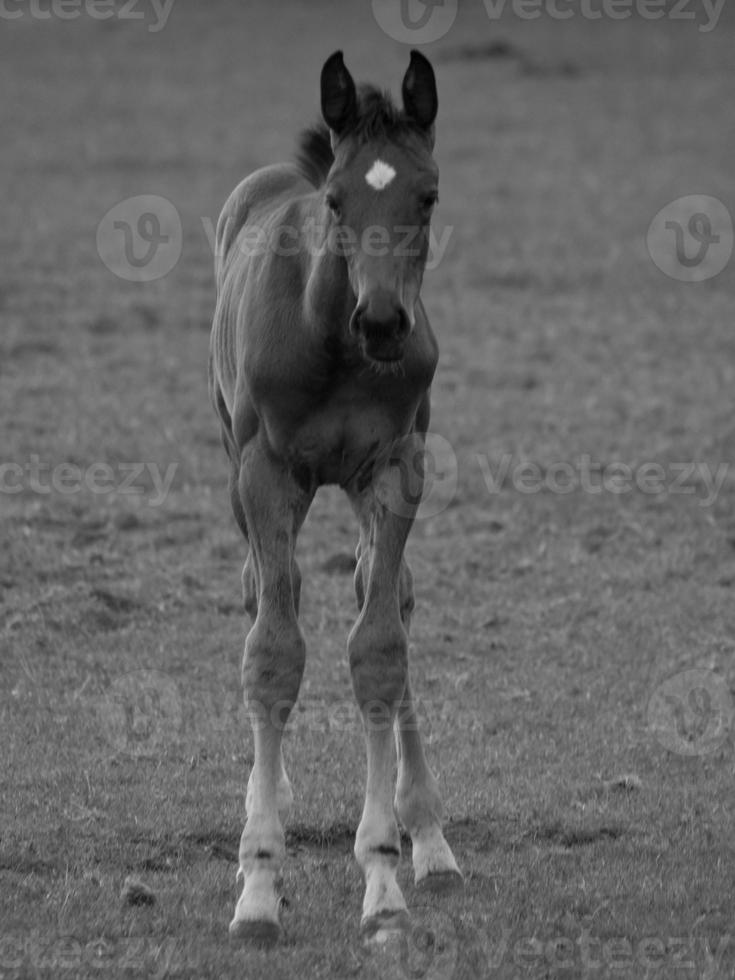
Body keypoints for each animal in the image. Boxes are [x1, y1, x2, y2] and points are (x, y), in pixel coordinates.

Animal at [208, 51, 460, 940]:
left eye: (426, 196)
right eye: (337, 200)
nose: (382, 321)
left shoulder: (395, 469)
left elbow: (378, 645)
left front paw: (384, 871)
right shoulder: (264, 473)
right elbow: (274, 653)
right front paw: (257, 881)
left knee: (385, 596)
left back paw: (431, 840)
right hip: (237, 466)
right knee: (259, 593)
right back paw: (267, 791)